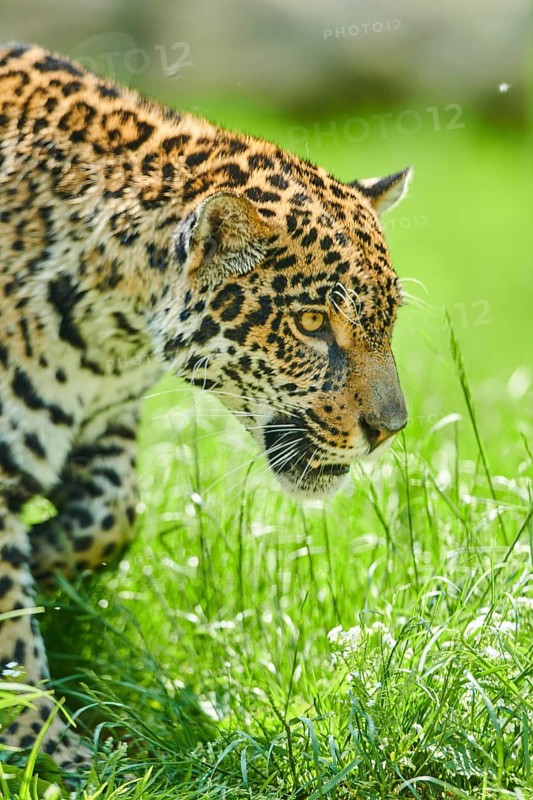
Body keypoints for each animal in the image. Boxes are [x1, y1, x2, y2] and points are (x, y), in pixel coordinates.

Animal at [0, 42, 411, 773]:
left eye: (387, 322)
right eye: (311, 323)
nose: (390, 430)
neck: (111, 323)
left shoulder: (106, 415)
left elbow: (113, 517)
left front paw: (45, 564)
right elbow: (10, 640)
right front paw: (50, 753)